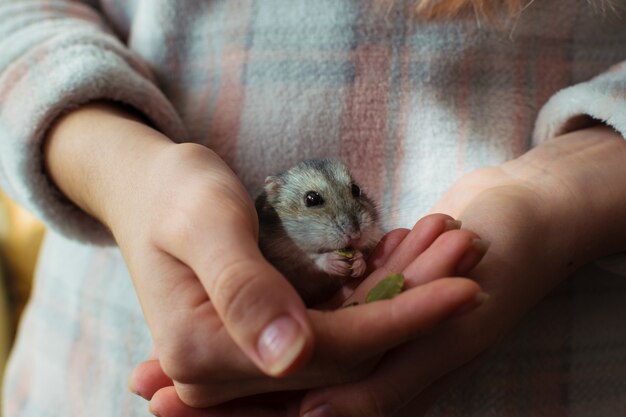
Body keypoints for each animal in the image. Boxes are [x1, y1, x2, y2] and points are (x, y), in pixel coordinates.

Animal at [254, 158, 380, 304]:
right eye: (312, 198)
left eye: (356, 189)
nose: (355, 235)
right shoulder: (283, 256)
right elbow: (310, 258)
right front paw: (335, 262)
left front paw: (358, 263)